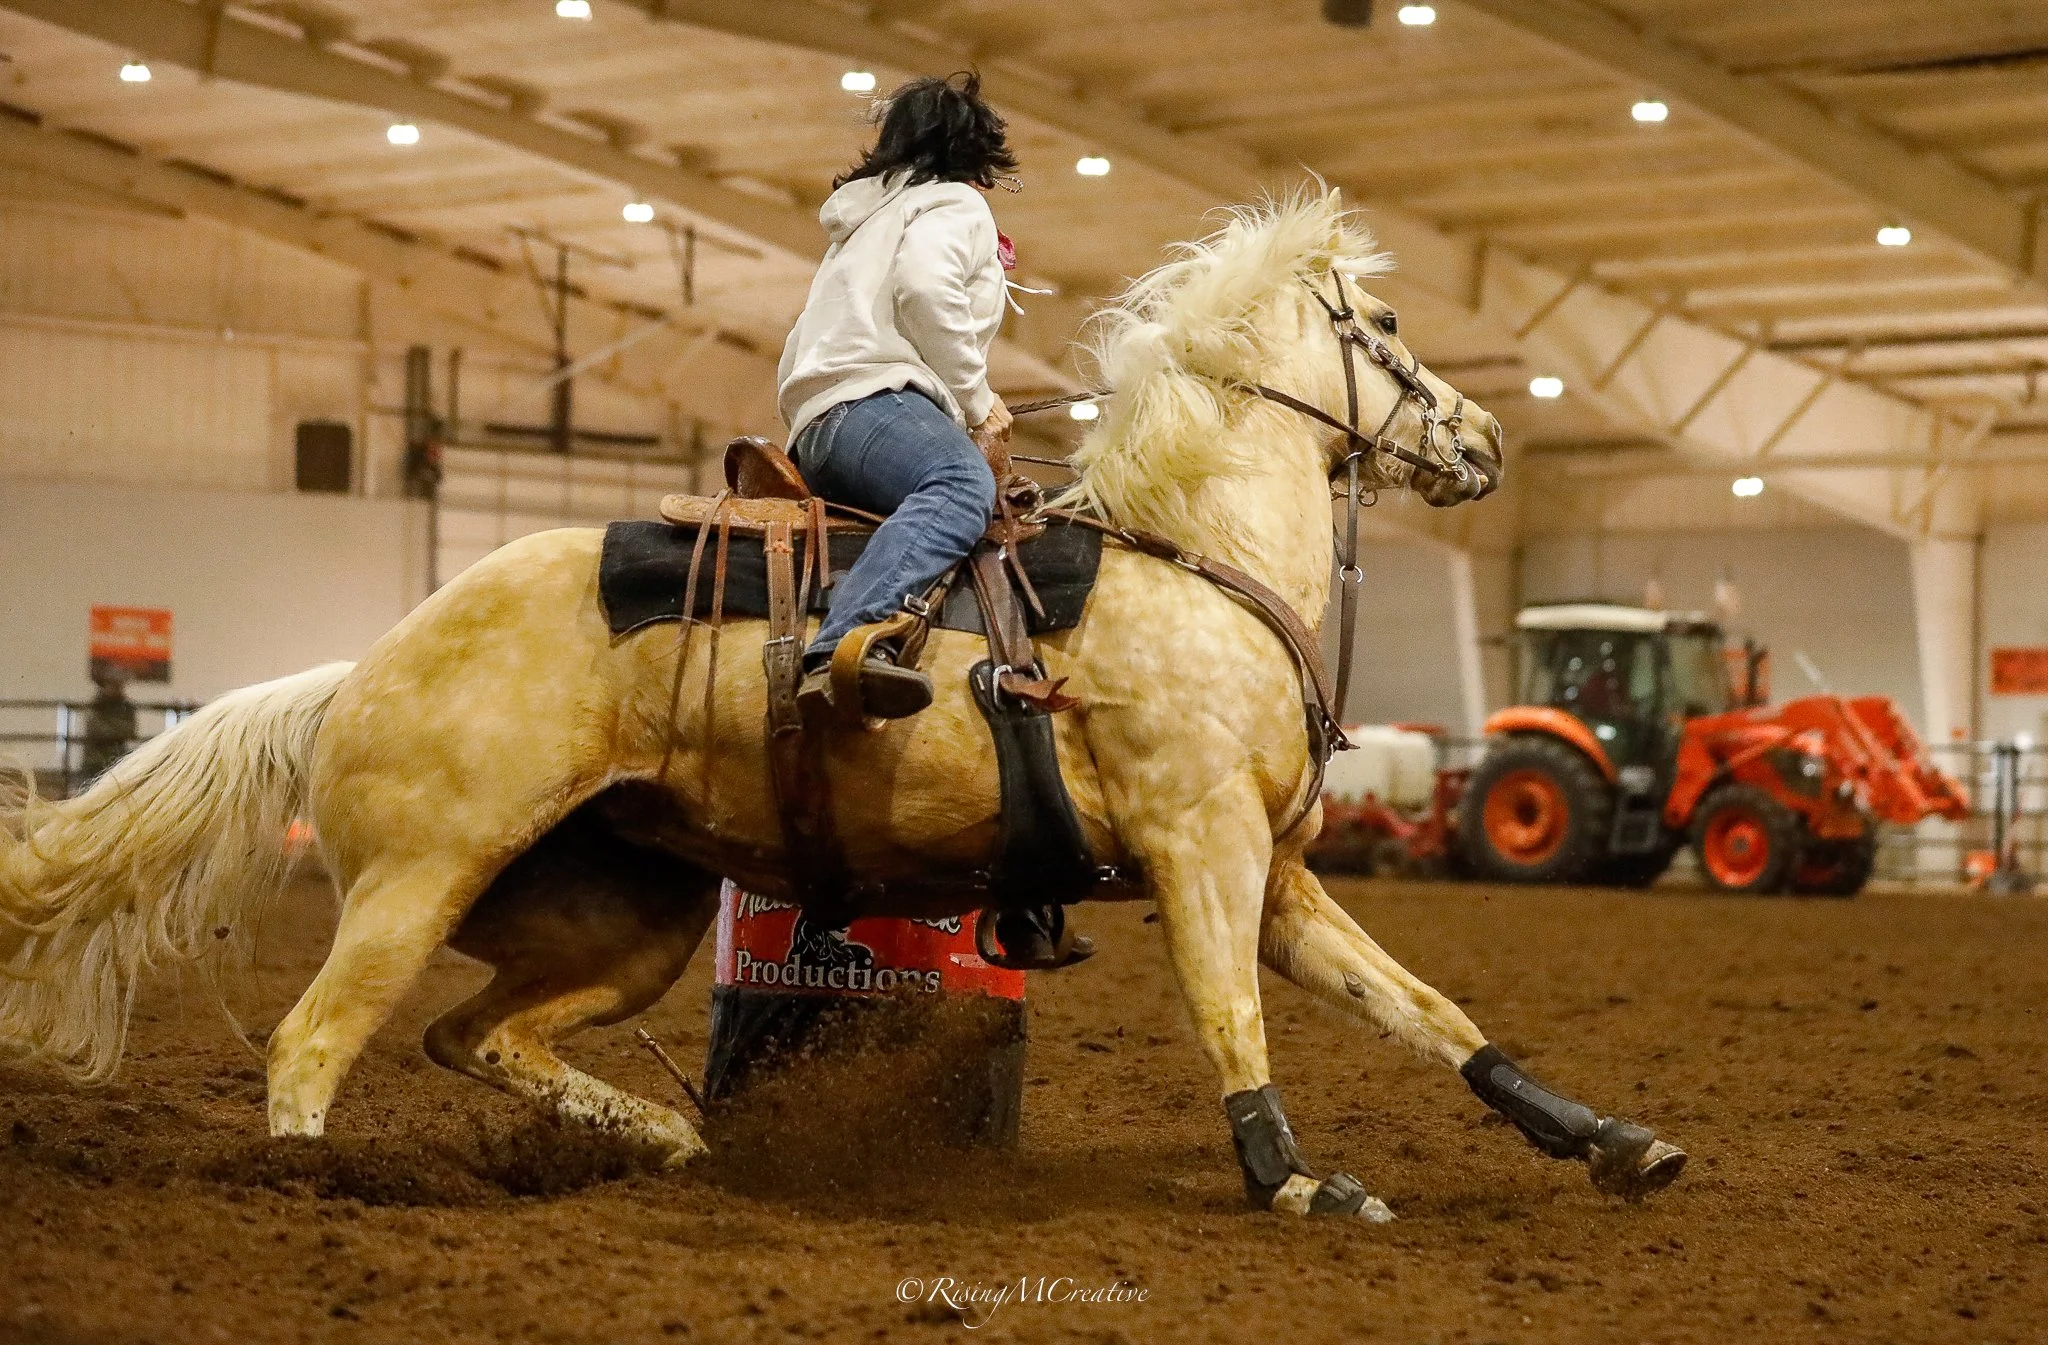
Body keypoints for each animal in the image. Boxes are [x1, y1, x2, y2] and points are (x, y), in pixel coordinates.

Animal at [0, 191, 1682, 1219]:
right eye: (1383, 337)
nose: (1482, 443)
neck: (1196, 556)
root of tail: (360, 662)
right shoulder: (1203, 853)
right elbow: (1233, 1018)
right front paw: (1294, 1180)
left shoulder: (1277, 873)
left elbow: (1430, 1009)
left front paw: (1614, 1143)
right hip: (418, 878)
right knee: (313, 1039)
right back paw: (313, 1190)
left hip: (625, 912)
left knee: (473, 1035)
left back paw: (672, 1139)